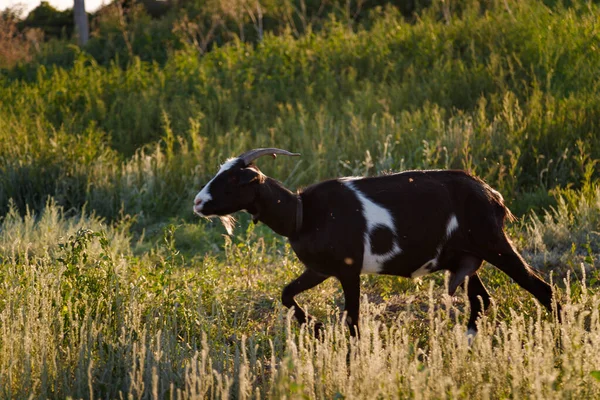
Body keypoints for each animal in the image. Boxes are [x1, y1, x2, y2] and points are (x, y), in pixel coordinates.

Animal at [195, 149, 560, 338]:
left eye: (232, 180)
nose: (198, 203)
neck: (303, 214)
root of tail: (492, 195)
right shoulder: (319, 269)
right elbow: (286, 294)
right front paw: (316, 326)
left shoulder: (348, 270)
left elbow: (353, 321)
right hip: (466, 257)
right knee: (481, 300)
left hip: (492, 242)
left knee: (541, 289)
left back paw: (559, 340)